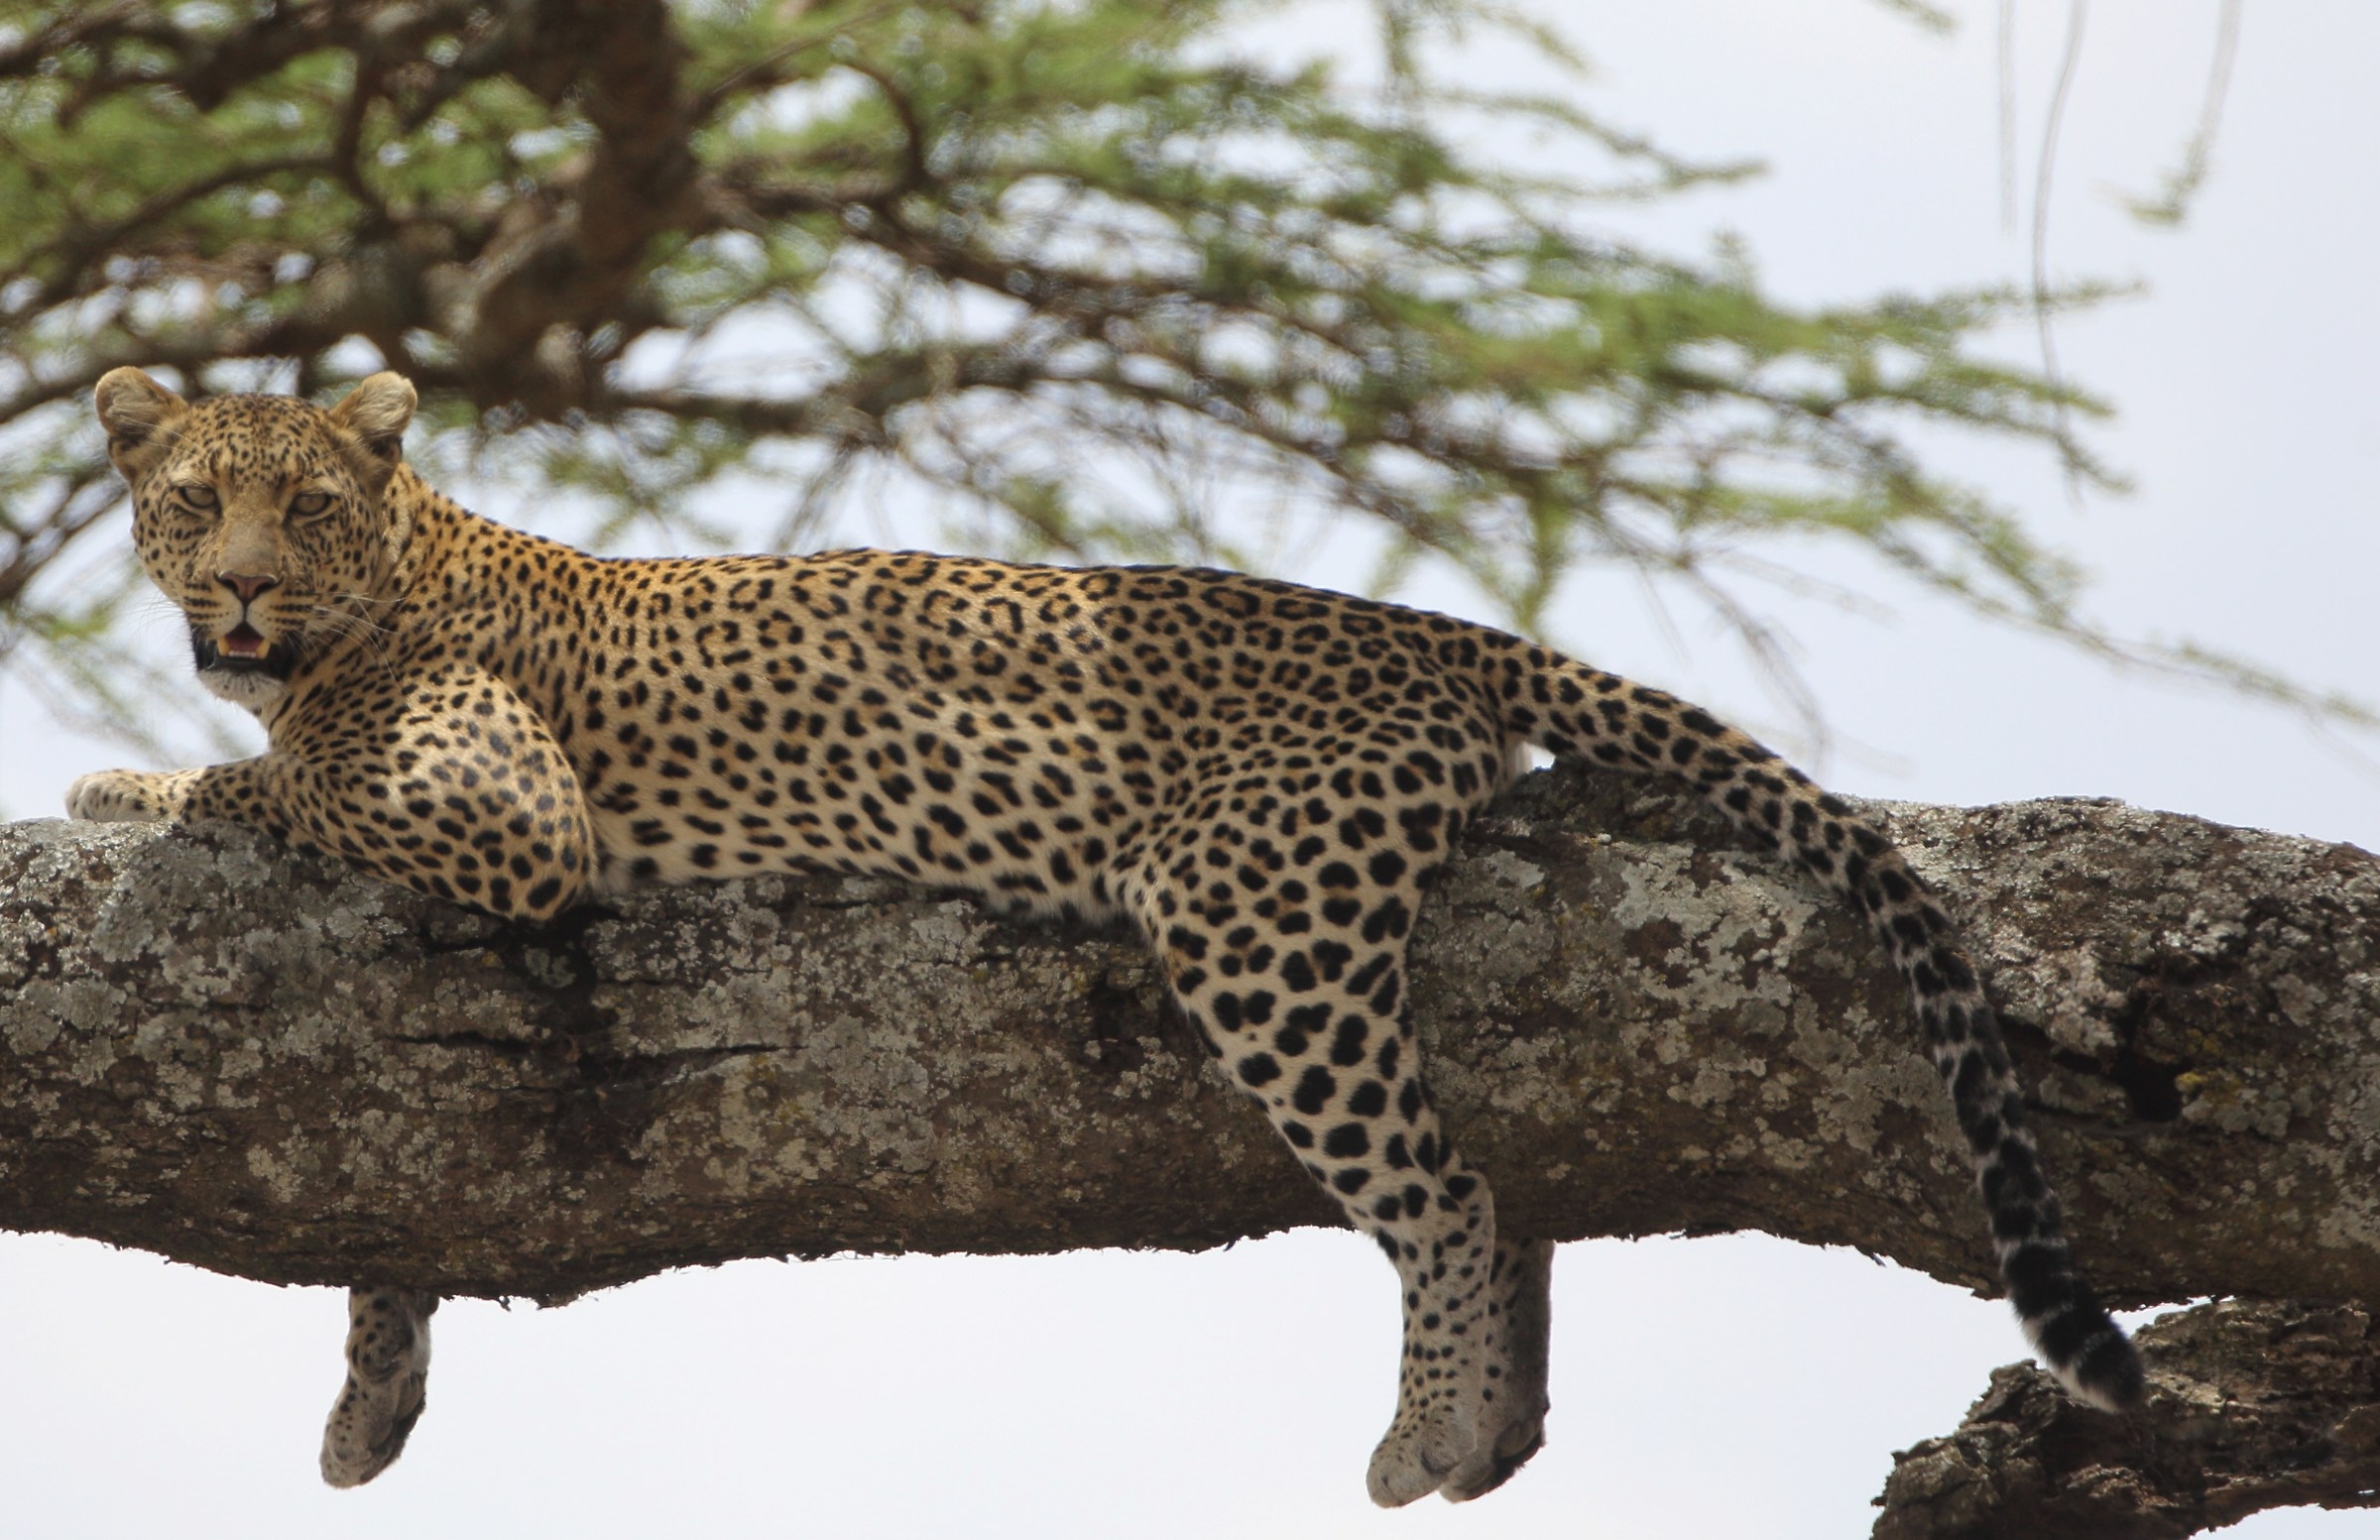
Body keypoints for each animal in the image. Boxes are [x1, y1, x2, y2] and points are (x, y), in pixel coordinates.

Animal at [66, 367, 2145, 1502]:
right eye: (192, 500)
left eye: (303, 504)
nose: (237, 592)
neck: (403, 560)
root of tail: (1432, 628)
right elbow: (397, 1196)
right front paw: (372, 1400)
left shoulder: (504, 817)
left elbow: (284, 779)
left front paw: (130, 784)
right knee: (1519, 1197)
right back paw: (1497, 1433)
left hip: (1251, 912)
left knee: (1450, 1190)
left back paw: (1425, 1431)